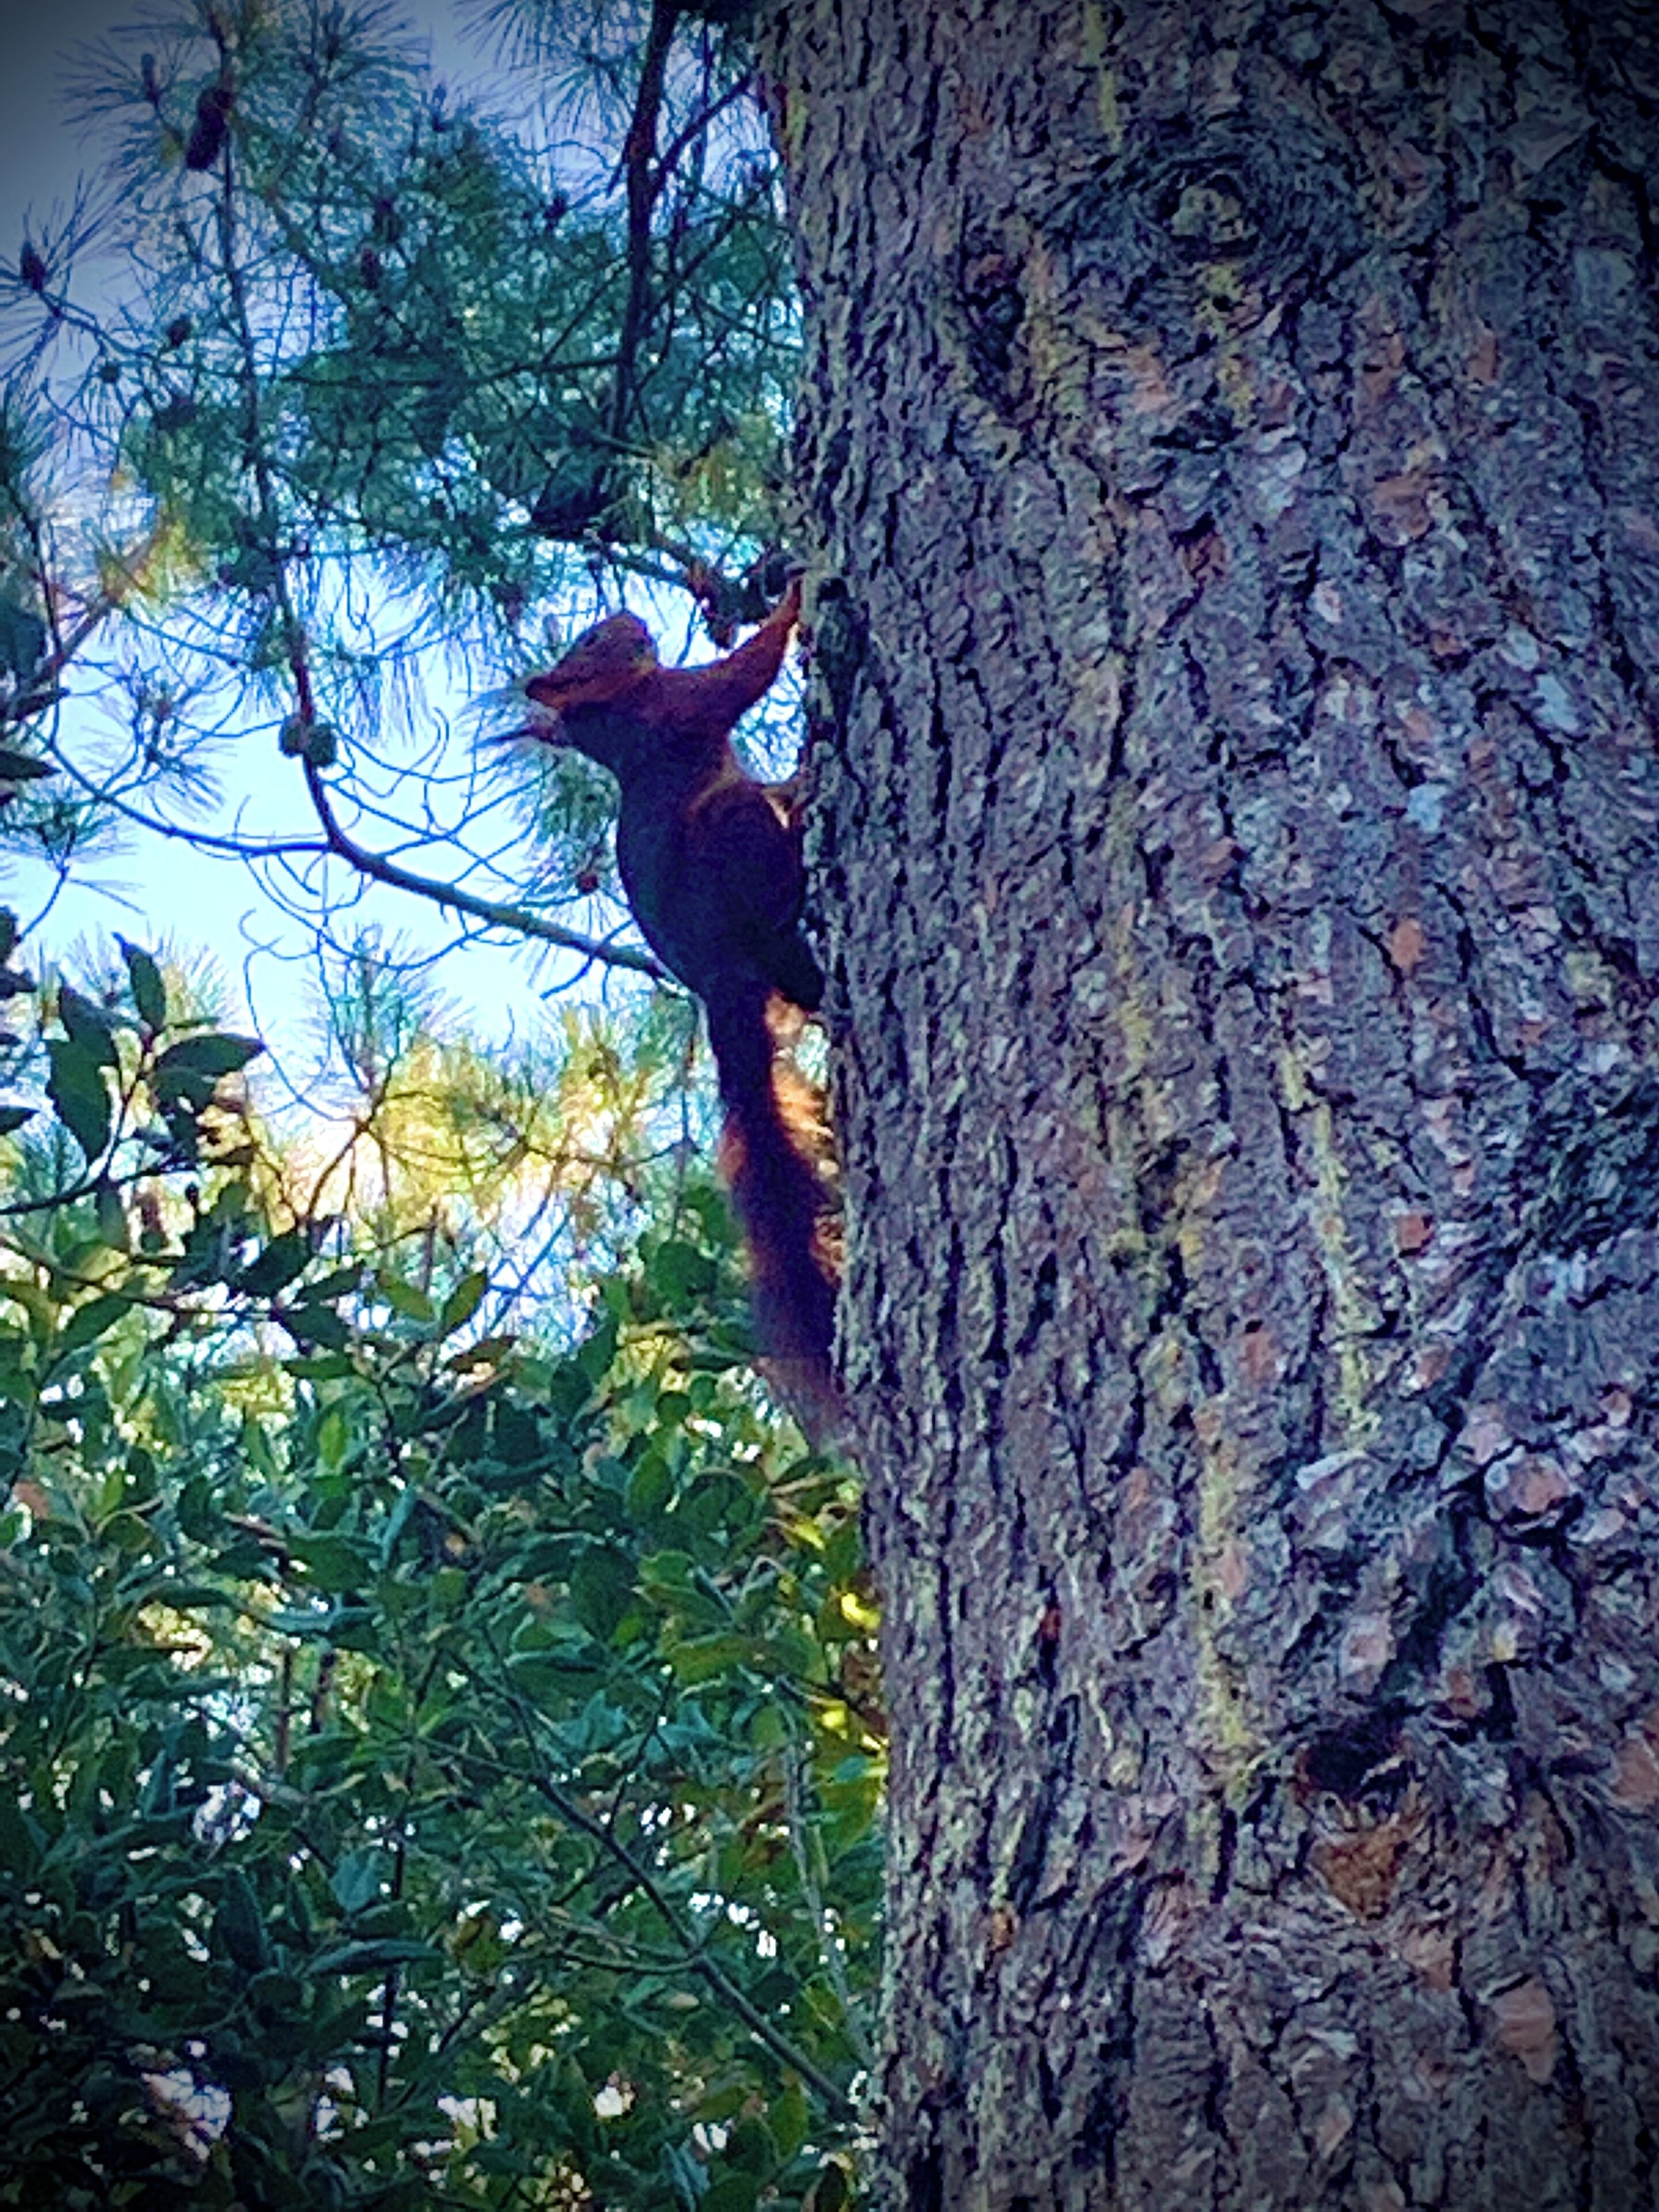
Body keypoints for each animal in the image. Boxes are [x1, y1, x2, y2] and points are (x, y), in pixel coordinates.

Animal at [520, 579, 840, 1436]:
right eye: (592, 641)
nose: (629, 617)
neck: (615, 719)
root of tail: (719, 979)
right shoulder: (682, 704)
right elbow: (744, 674)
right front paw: (793, 598)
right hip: (733, 838)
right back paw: (801, 812)